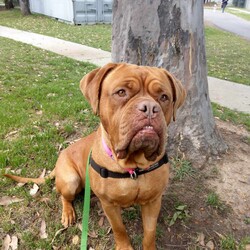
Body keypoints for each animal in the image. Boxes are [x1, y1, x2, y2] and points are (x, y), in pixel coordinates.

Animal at [4, 63, 186, 250]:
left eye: (164, 97)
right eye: (121, 92)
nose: (150, 108)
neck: (132, 165)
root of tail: (60, 157)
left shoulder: (153, 202)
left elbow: (149, 232)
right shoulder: (109, 205)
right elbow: (119, 228)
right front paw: (124, 246)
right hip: (70, 180)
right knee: (63, 195)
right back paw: (68, 213)